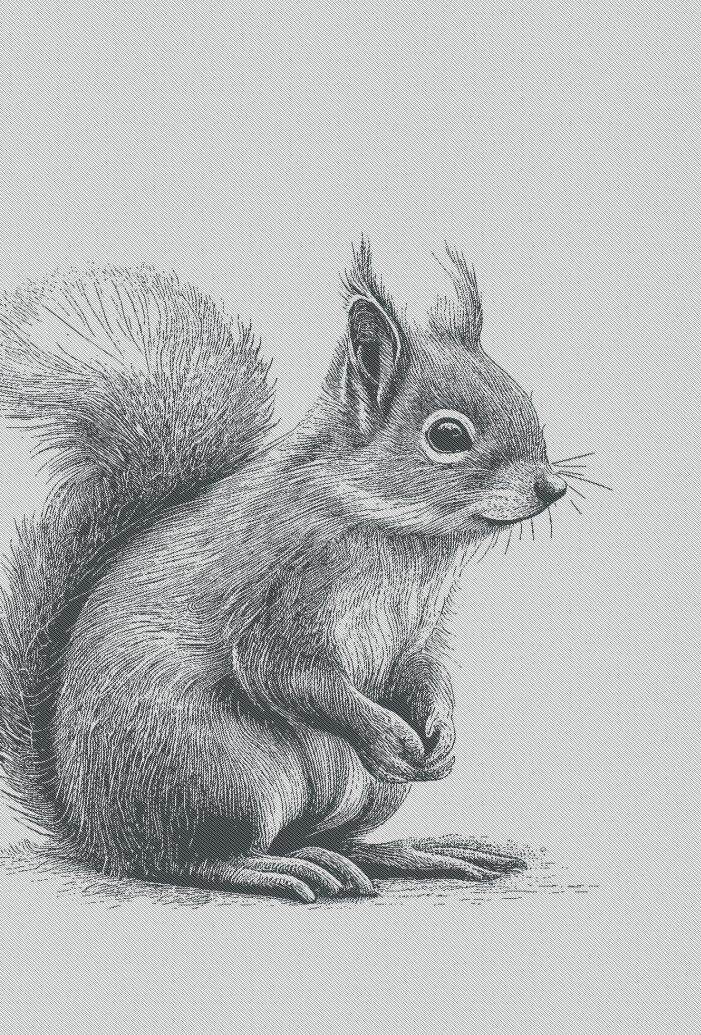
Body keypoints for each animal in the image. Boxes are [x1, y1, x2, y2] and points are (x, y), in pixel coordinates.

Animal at [0, 241, 568, 902]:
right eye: (447, 435)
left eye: (527, 402)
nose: (551, 487)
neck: (391, 530)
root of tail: (88, 825)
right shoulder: (281, 597)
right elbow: (284, 672)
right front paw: (388, 732)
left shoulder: (419, 631)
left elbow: (423, 668)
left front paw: (441, 733)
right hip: (224, 773)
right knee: (185, 857)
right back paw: (277, 867)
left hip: (369, 789)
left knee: (335, 837)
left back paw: (412, 852)